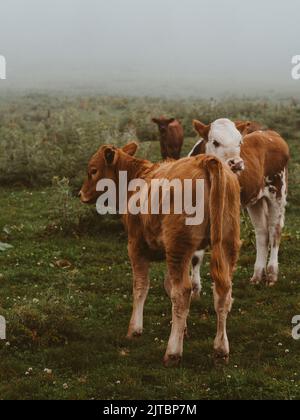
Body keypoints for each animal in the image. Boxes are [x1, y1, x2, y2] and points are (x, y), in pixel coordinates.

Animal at [79, 143, 241, 366]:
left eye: (93, 170)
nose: (81, 193)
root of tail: (205, 160)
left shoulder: (136, 245)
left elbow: (141, 286)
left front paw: (135, 329)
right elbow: (167, 285)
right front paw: (183, 329)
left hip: (178, 245)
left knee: (182, 292)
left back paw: (173, 352)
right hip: (226, 243)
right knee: (223, 293)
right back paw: (221, 349)